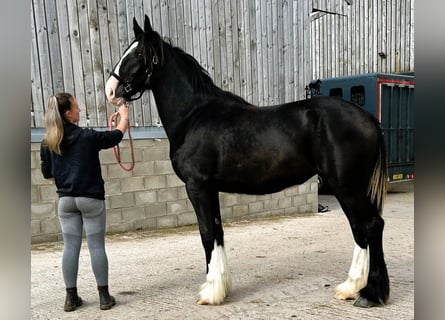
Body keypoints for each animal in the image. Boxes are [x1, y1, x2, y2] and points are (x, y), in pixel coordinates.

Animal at [106, 15, 386, 308]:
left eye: (138, 53)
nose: (111, 90)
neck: (194, 115)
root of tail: (368, 118)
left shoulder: (197, 187)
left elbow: (206, 234)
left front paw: (210, 292)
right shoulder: (210, 189)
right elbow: (217, 232)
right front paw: (221, 287)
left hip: (347, 187)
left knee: (371, 226)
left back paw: (369, 293)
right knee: (360, 229)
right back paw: (351, 287)